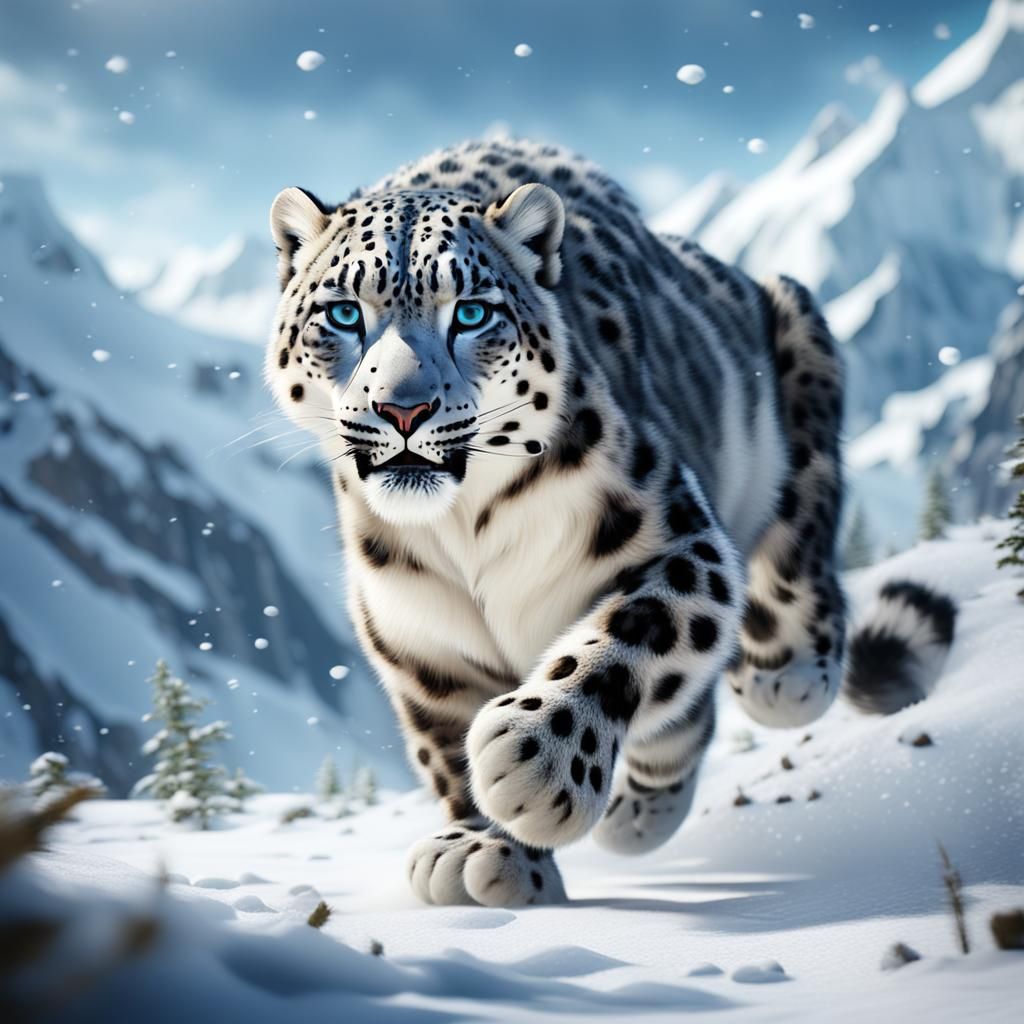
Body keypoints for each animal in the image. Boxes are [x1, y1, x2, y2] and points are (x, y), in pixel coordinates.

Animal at [264, 139, 954, 907]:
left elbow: (631, 632)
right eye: (343, 314)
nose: (402, 409)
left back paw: (783, 676)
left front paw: (539, 761)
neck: (464, 525)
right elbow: (443, 747)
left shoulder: (679, 535)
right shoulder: (418, 638)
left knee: (788, 582)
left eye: (470, 314)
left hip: (797, 368)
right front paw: (487, 849)